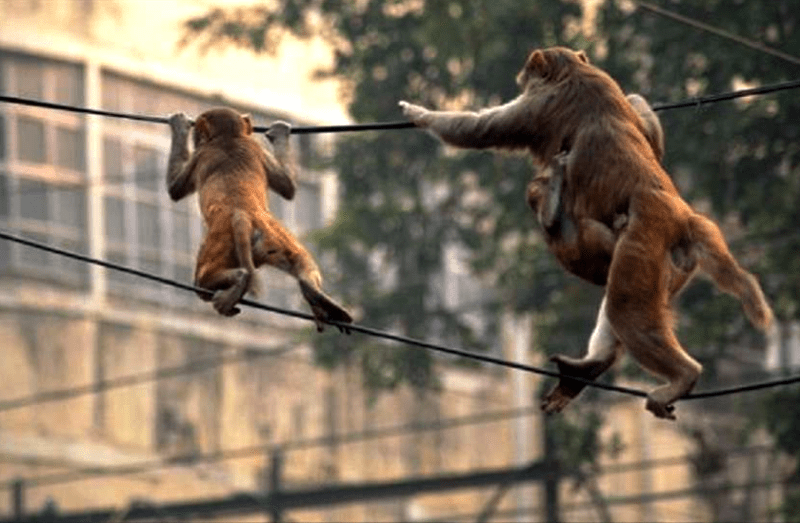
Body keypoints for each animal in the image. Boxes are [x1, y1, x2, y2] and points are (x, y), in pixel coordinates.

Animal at [166, 107, 353, 333]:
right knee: (301, 262)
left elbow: (174, 190)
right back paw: (316, 294)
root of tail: (243, 215)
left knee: (202, 281)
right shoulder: (258, 149)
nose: (195, 138)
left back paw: (238, 282)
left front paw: (179, 125)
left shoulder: (199, 155)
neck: (229, 137)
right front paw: (280, 133)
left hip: (219, 242)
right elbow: (288, 187)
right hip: (275, 238)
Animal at [400, 47, 773, 419]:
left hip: (644, 239)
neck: (573, 71)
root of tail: (680, 216)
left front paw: (421, 114)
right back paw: (587, 369)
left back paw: (682, 376)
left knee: (625, 307)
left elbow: (480, 129)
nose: (521, 76)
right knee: (620, 301)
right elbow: (643, 122)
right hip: (673, 265)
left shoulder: (538, 103)